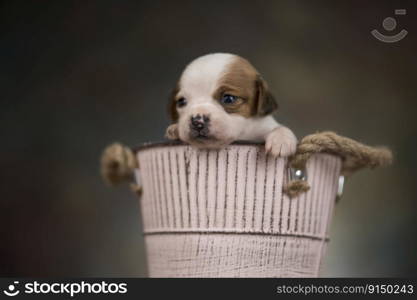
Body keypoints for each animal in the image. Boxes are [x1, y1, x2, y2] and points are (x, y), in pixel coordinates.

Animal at [165, 53, 296, 157]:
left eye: (228, 99)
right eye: (181, 101)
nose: (197, 121)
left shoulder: (263, 126)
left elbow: (279, 127)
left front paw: (281, 139)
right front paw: (175, 129)